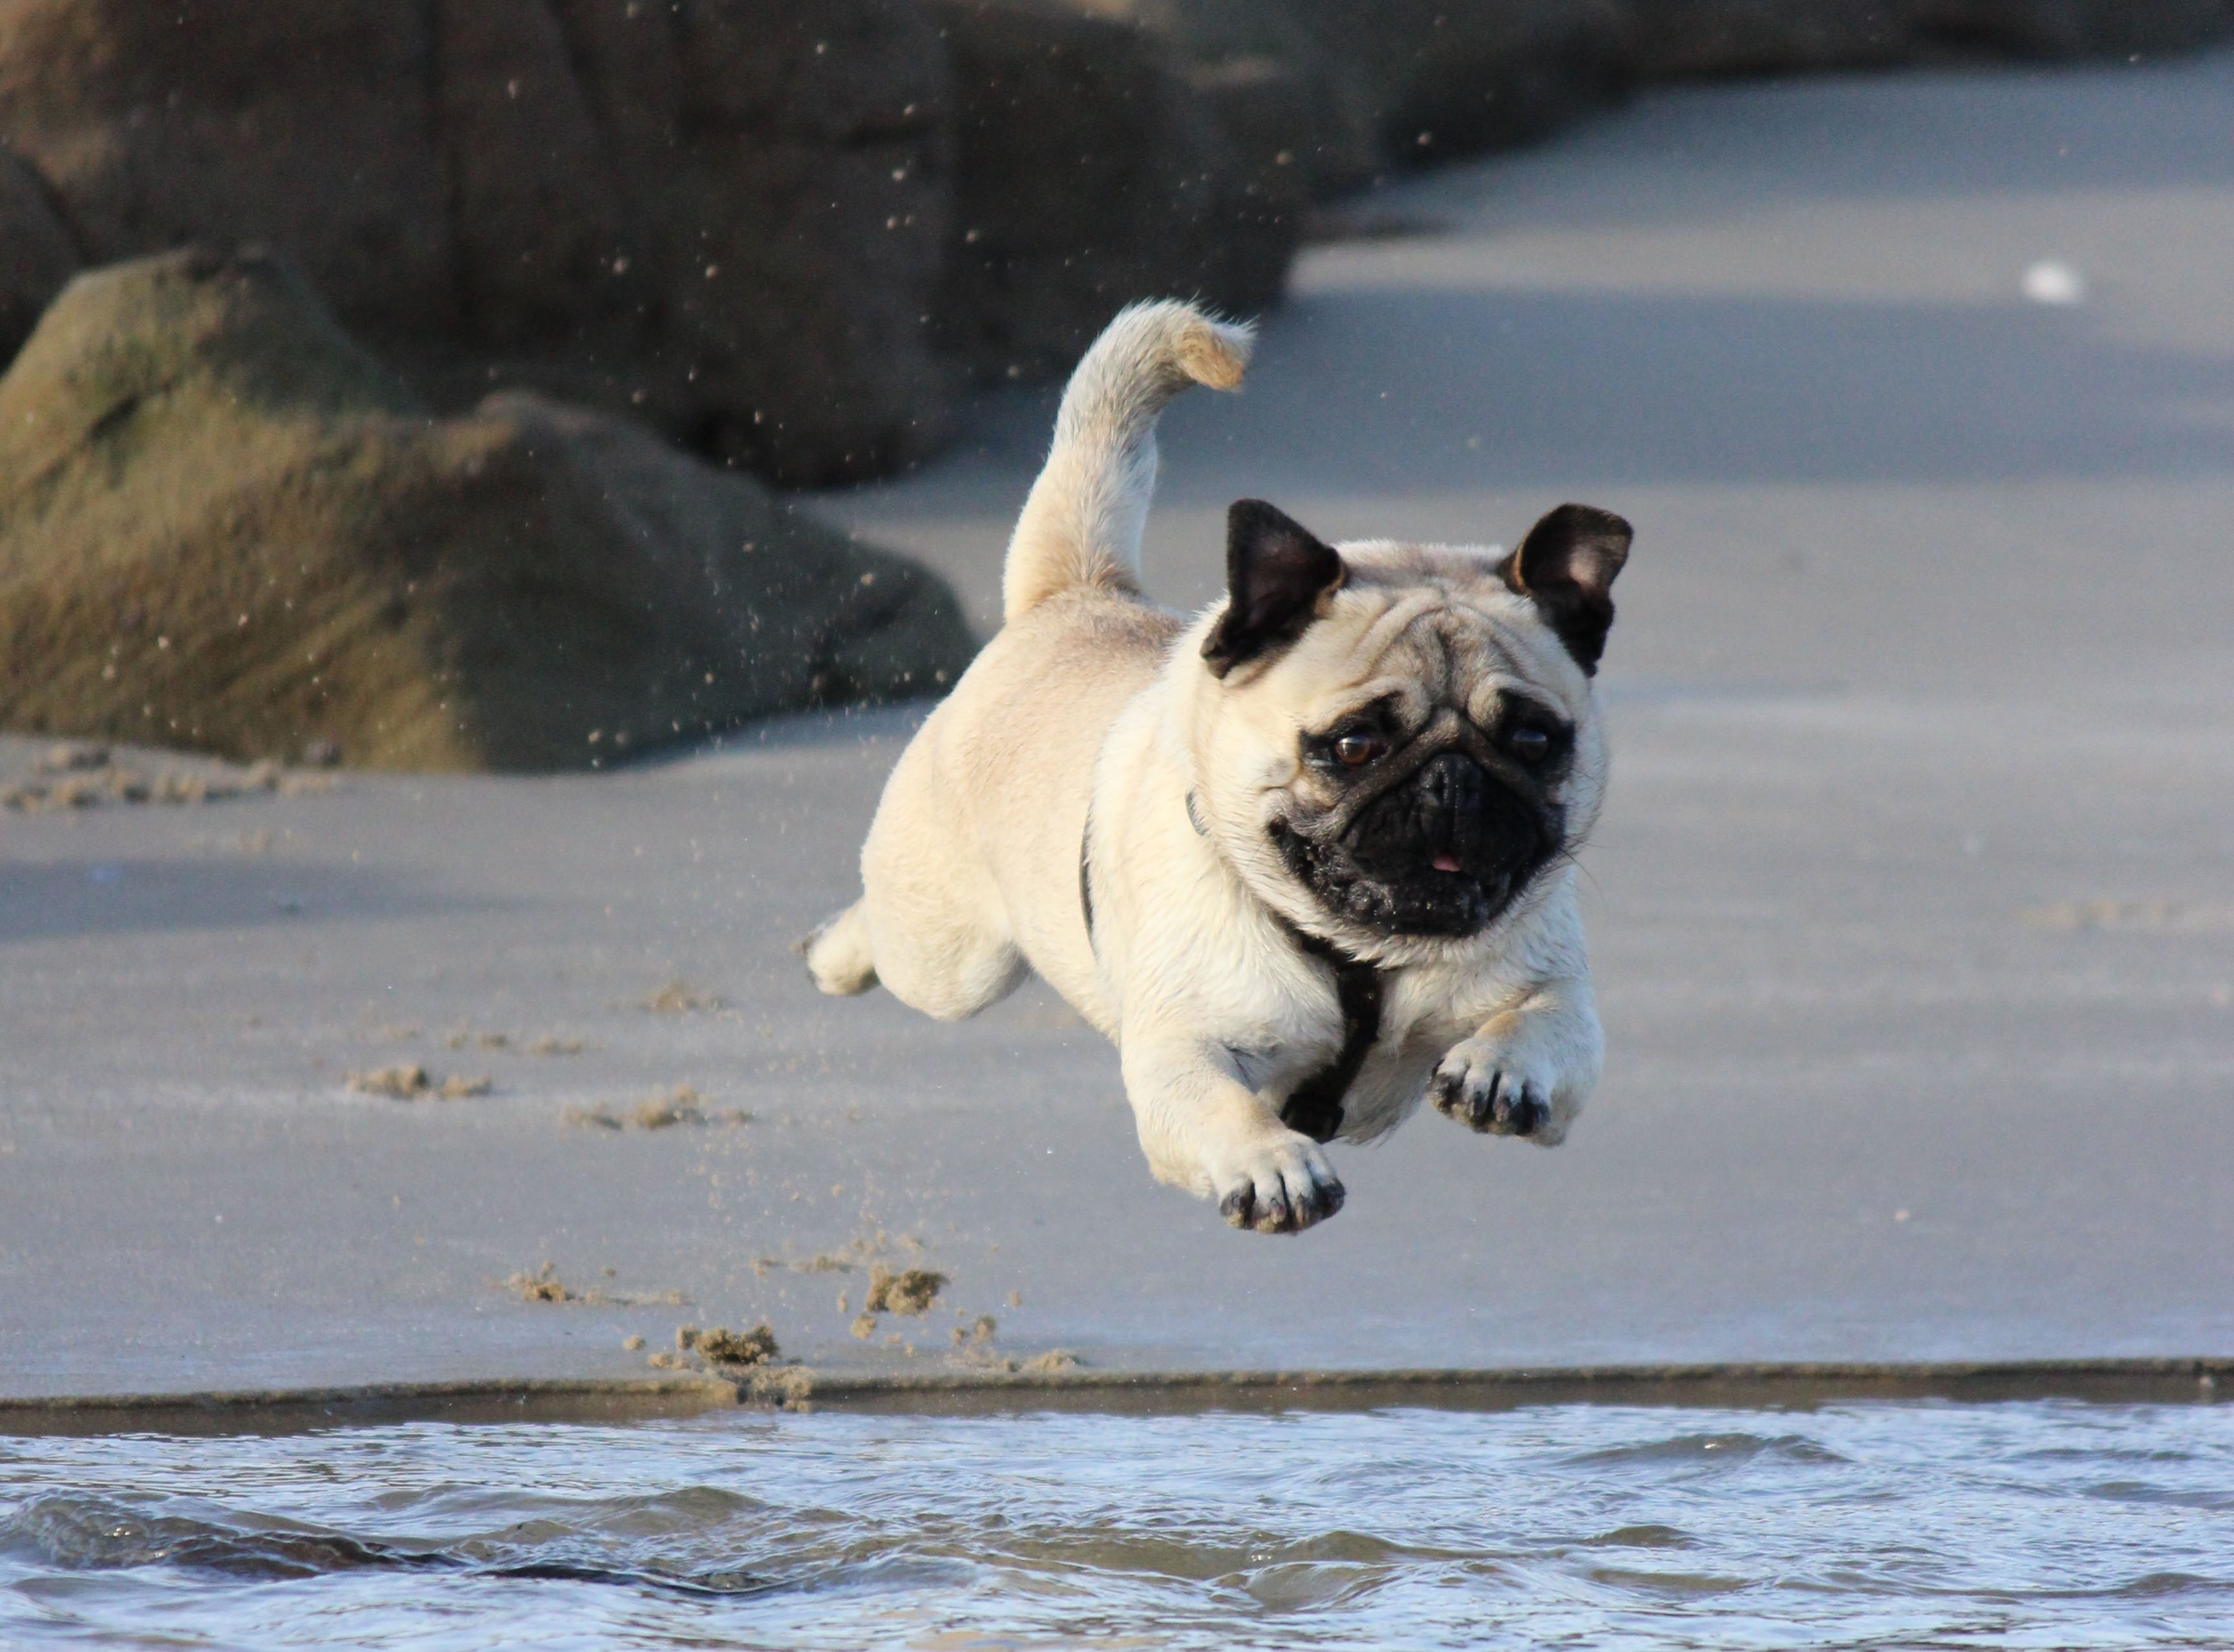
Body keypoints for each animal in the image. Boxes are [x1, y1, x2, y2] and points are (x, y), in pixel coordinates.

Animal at [804, 297, 1626, 1232]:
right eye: (1353, 745)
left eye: (1532, 742)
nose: (1453, 779)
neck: (1361, 958)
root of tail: (1078, 594)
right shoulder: (1180, 1054)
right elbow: (1223, 1106)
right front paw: (1272, 1165)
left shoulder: (1558, 997)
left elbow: (1545, 1022)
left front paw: (1501, 1069)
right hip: (952, 956)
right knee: (893, 939)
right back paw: (834, 953)